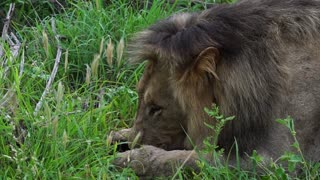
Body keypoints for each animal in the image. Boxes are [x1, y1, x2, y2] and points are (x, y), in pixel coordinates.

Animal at [109, 0, 320, 177]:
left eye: (156, 109)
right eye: (139, 98)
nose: (135, 143)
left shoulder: (276, 161)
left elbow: (188, 159)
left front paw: (132, 159)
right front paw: (117, 137)